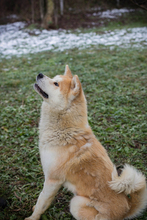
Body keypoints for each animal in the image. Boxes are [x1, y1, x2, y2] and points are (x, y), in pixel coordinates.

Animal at [24, 65, 146, 220]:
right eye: (54, 78)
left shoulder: (52, 180)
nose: (40, 74)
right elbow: (41, 201)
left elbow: (42, 201)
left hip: (76, 203)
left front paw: (32, 217)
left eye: (56, 84)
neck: (65, 129)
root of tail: (126, 210)